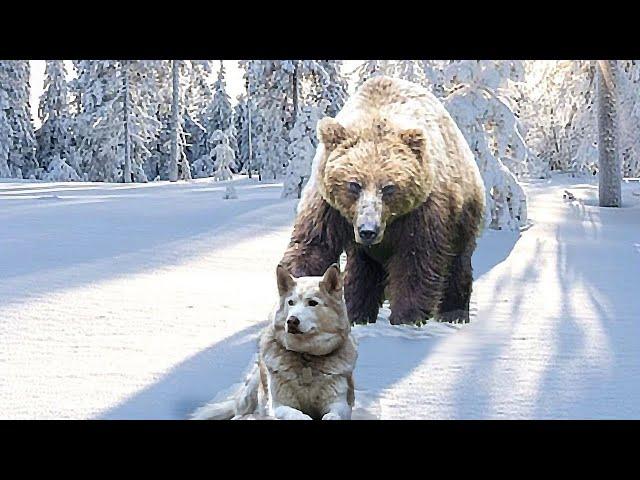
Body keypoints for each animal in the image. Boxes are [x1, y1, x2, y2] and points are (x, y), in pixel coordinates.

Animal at [192, 262, 358, 420]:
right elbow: (297, 414)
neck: (305, 356)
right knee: (241, 412)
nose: (291, 321)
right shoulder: (279, 405)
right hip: (251, 390)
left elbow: (333, 415)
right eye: (291, 302)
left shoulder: (340, 404)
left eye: (312, 303)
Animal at [280, 77, 484, 324]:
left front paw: (407, 316)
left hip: (463, 214)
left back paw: (453, 313)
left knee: (457, 262)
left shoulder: (421, 213)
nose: (368, 230)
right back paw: (358, 312)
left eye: (388, 187)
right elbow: (313, 245)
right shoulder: (328, 208)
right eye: (354, 184)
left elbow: (415, 261)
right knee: (361, 272)